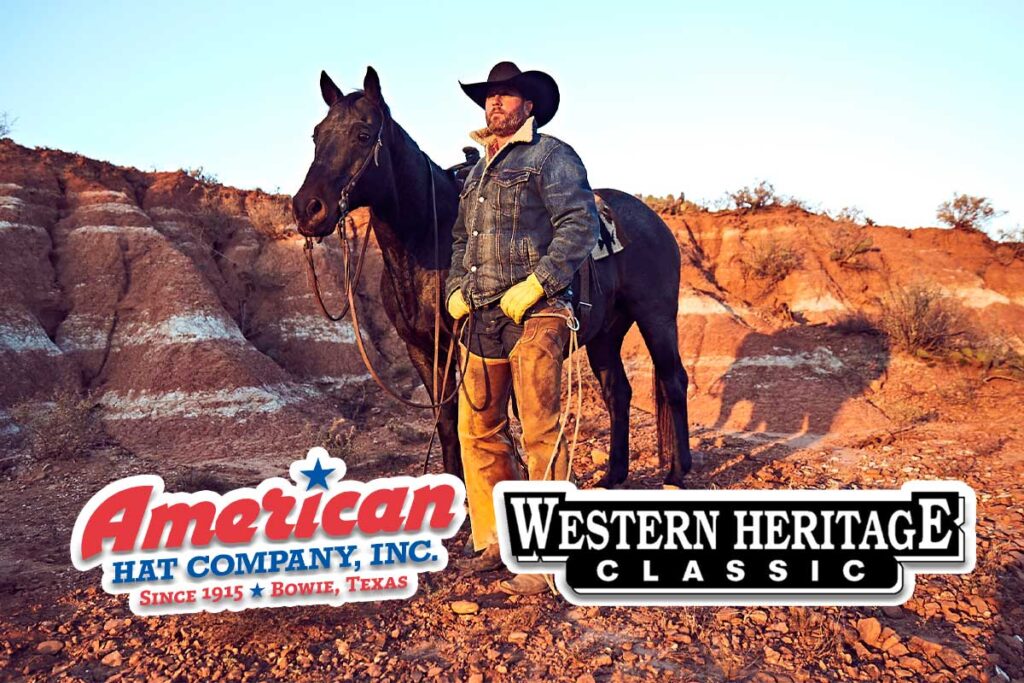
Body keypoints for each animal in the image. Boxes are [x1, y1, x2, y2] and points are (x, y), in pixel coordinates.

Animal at [292, 66, 692, 489]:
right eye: (317, 135)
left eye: (363, 134)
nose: (307, 208)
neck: (427, 238)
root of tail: (654, 220)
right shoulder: (422, 350)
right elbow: (447, 423)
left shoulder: (460, 346)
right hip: (605, 333)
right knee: (618, 391)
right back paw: (614, 475)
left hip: (656, 318)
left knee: (674, 380)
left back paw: (676, 472)